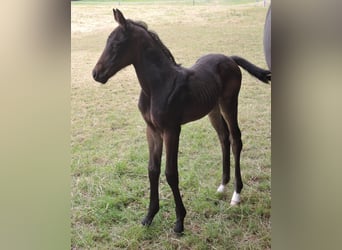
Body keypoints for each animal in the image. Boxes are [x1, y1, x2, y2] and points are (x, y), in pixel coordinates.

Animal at [93, 8, 270, 233]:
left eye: (116, 45)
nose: (96, 74)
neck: (157, 86)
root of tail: (229, 58)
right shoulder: (152, 130)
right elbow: (152, 170)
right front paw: (149, 216)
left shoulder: (172, 130)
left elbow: (170, 172)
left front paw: (179, 221)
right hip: (213, 108)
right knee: (224, 138)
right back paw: (222, 185)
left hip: (229, 102)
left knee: (236, 139)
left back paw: (236, 195)